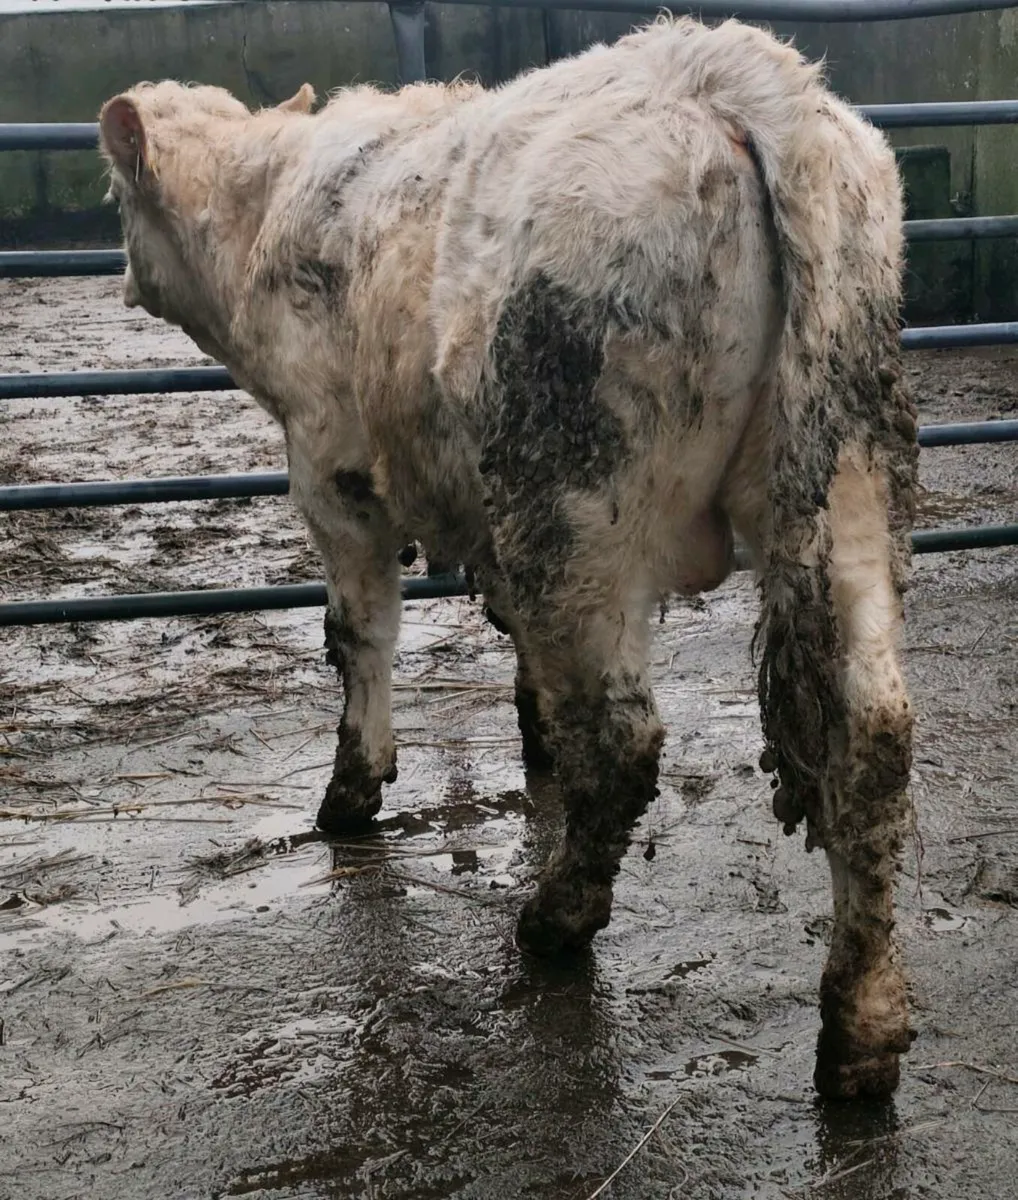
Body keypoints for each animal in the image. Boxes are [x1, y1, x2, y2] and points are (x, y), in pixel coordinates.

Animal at [98, 15, 919, 1100]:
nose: (120, 274)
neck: (269, 210)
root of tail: (731, 74)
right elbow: (518, 653)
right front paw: (532, 744)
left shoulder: (332, 473)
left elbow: (358, 636)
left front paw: (352, 792)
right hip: (840, 480)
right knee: (871, 735)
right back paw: (861, 1030)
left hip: (575, 502)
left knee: (623, 740)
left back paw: (556, 920)